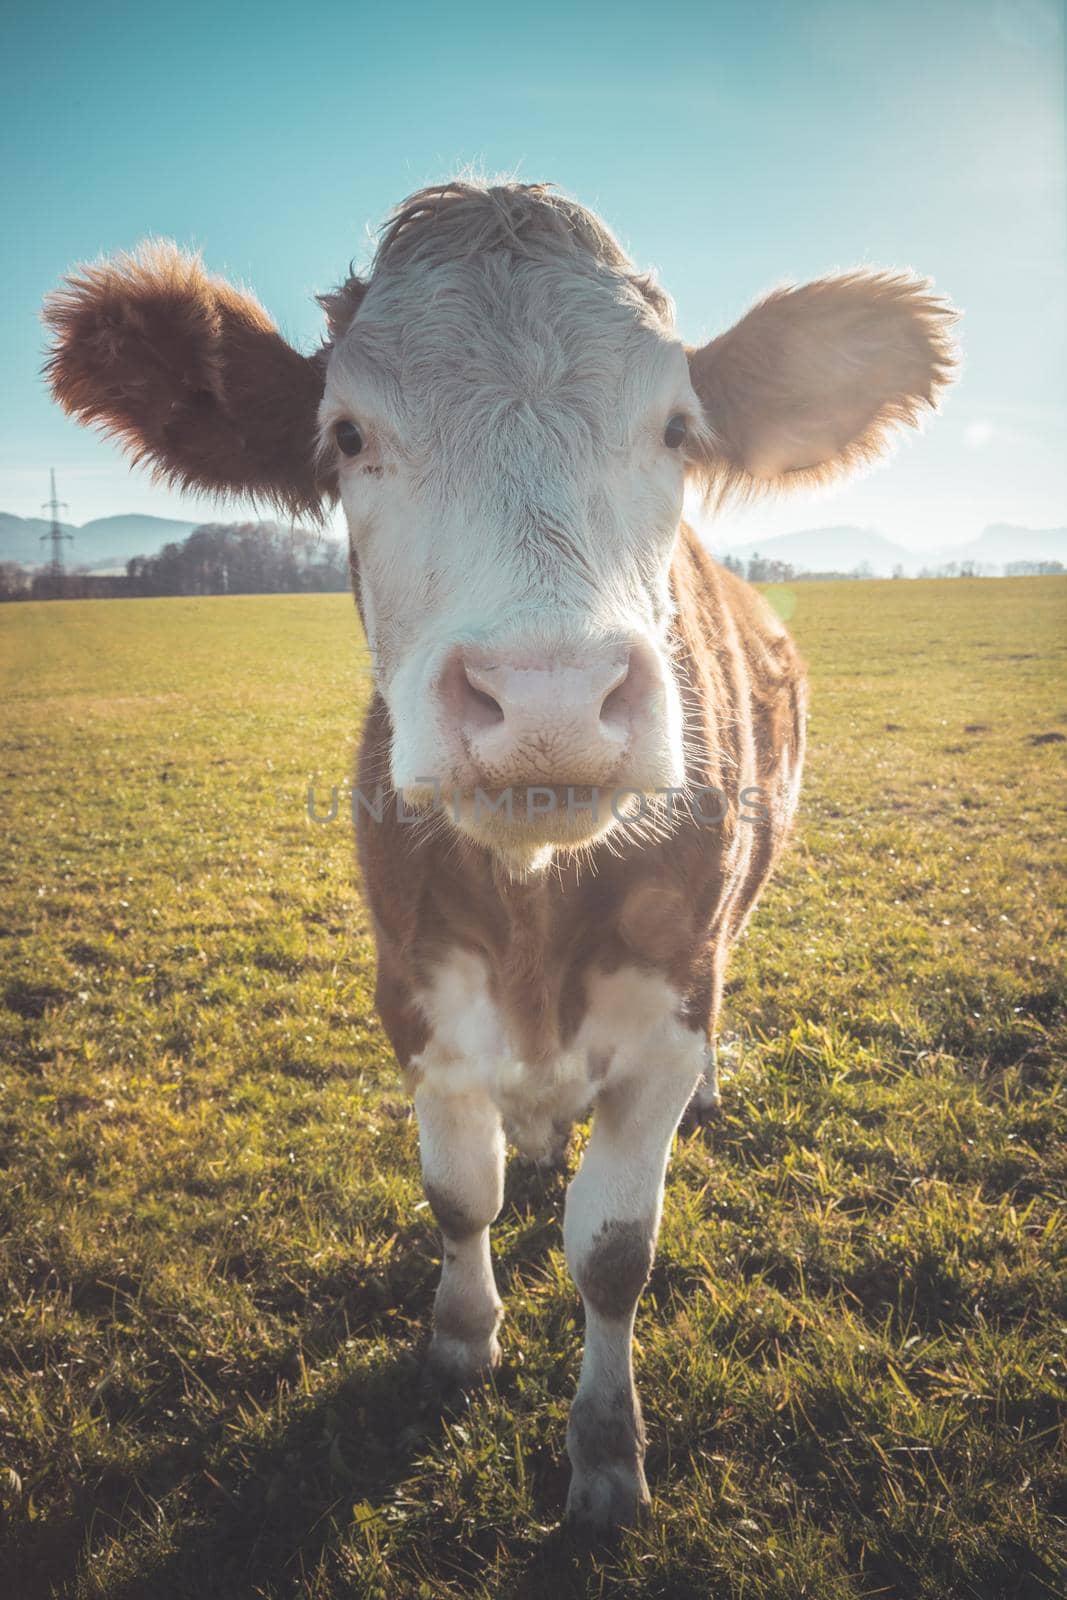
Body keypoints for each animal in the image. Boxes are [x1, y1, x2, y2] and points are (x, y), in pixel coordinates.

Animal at [45, 181, 953, 1529]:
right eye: (346, 436)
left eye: (676, 428)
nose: (548, 700)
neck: (532, 907)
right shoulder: (412, 991)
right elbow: (456, 1193)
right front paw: (462, 1340)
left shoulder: (665, 1013)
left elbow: (613, 1250)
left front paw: (606, 1454)